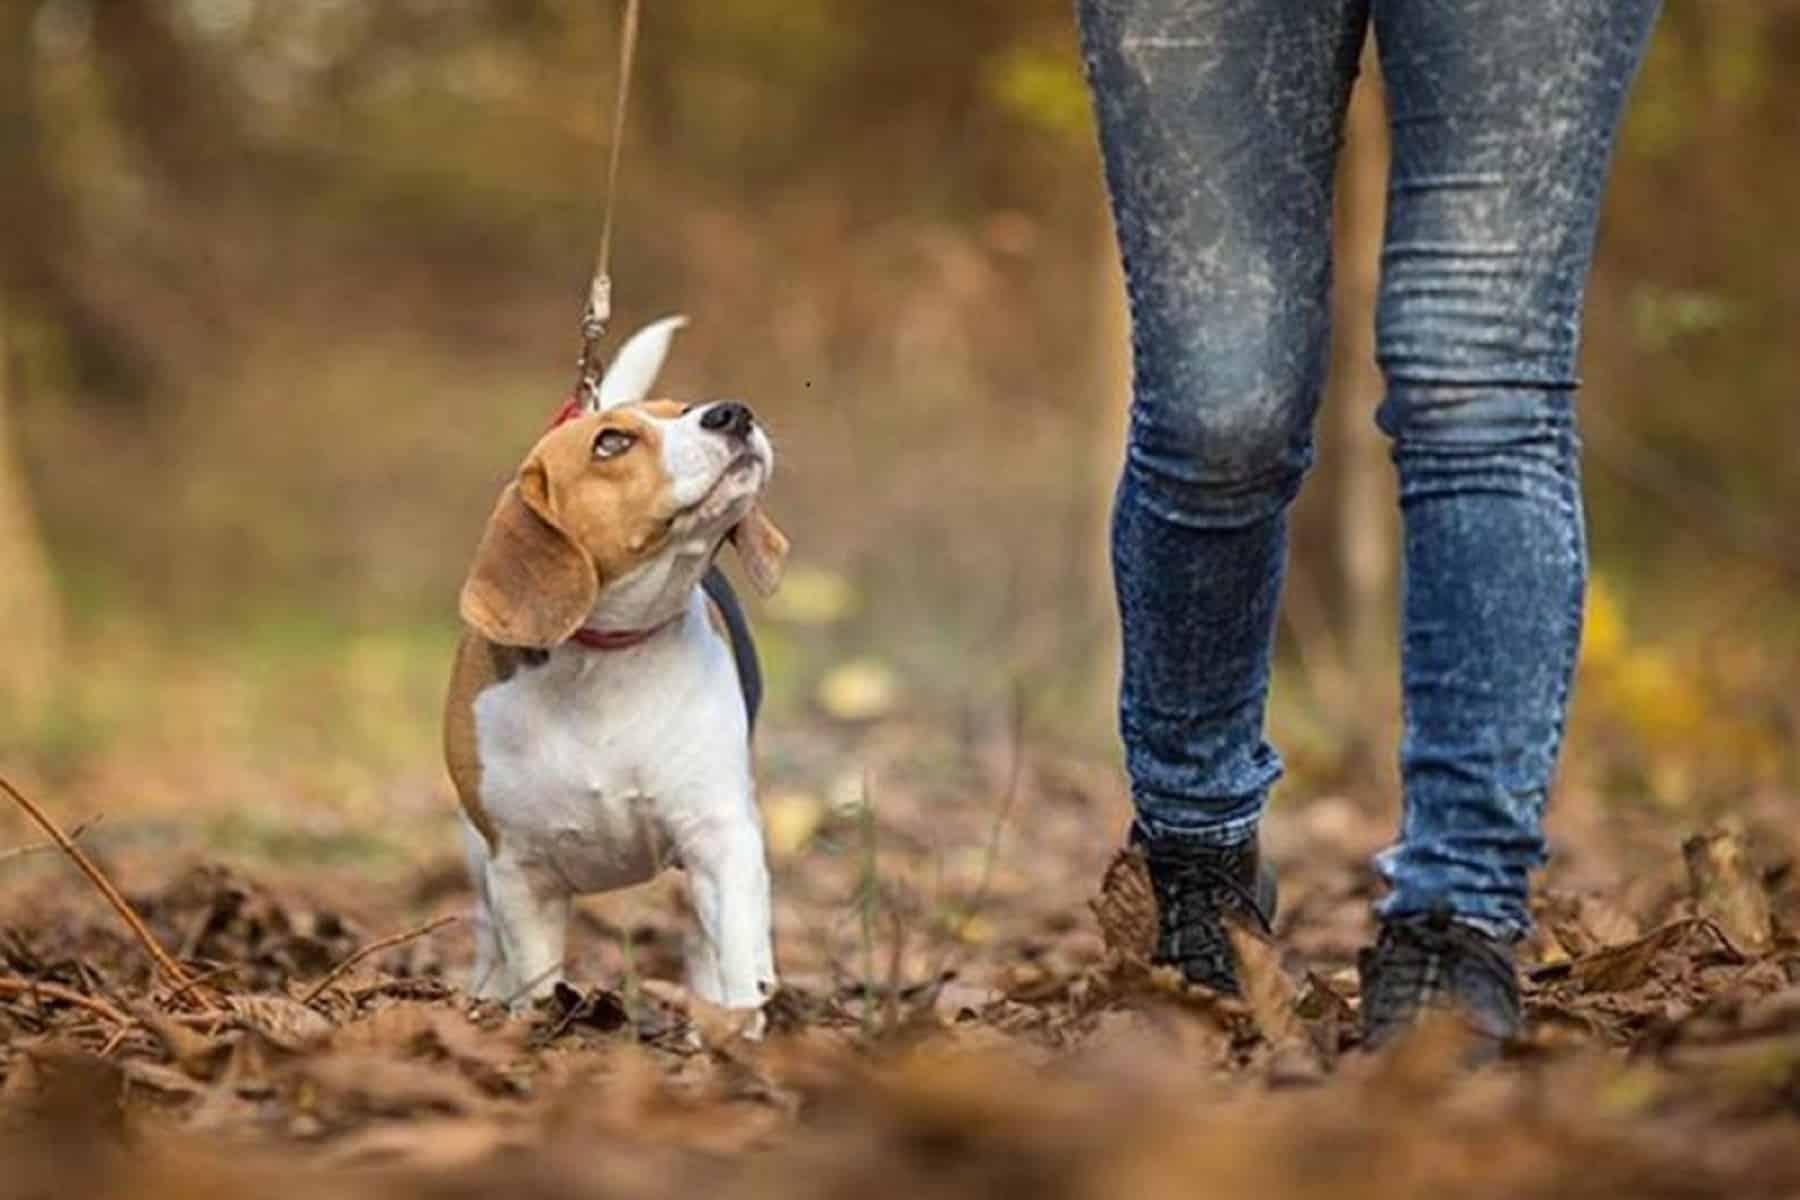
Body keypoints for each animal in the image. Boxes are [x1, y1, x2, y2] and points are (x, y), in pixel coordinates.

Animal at [439, 316, 784, 1014]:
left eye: (684, 408)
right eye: (612, 443)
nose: (732, 412)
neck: (606, 661)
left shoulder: (718, 836)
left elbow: (735, 951)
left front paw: (740, 1022)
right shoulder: (521, 872)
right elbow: (536, 977)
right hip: (475, 853)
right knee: (489, 938)